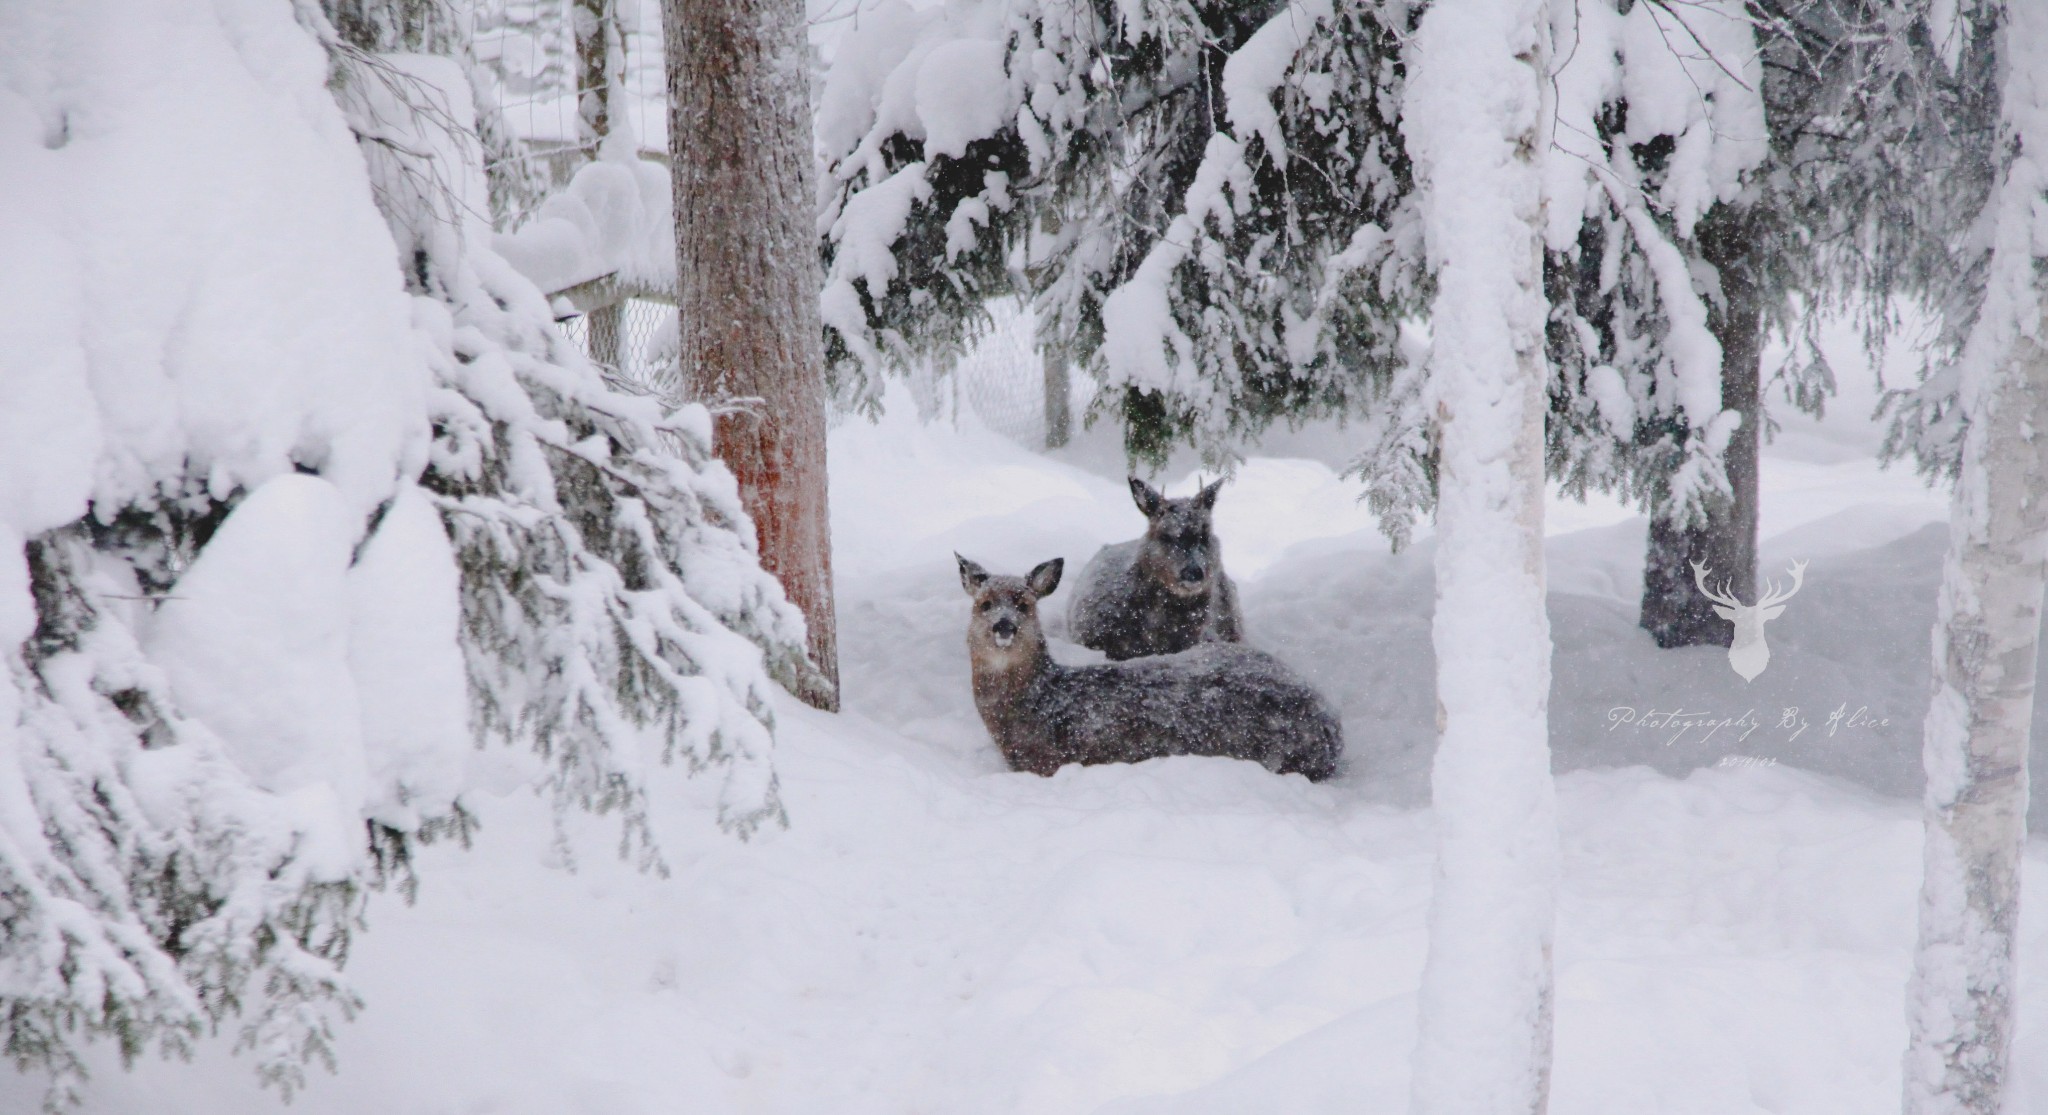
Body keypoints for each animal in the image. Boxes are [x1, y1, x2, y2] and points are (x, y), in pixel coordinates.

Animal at [958, 553, 1343, 778]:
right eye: (984, 604)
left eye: (1024, 605)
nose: (1004, 626)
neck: (1041, 704)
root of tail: (1331, 723)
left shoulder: (1052, 761)